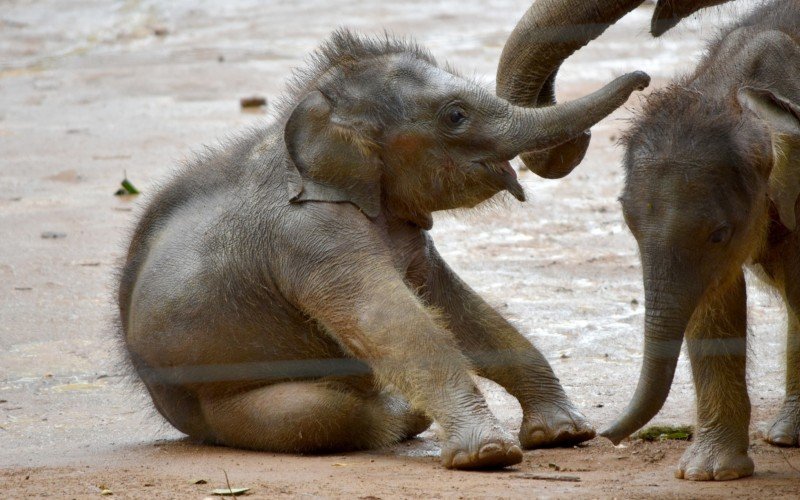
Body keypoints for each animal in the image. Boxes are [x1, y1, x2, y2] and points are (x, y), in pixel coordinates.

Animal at [115, 30, 648, 468]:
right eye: (456, 115)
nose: (644, 78)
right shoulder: (310, 236)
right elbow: (391, 321)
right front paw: (489, 456)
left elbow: (453, 306)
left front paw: (564, 435)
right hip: (217, 404)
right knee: (319, 414)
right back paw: (400, 413)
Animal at [604, 0, 800, 480]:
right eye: (627, 221)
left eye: (719, 233)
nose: (602, 435)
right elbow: (714, 304)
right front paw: (707, 474)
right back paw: (785, 436)